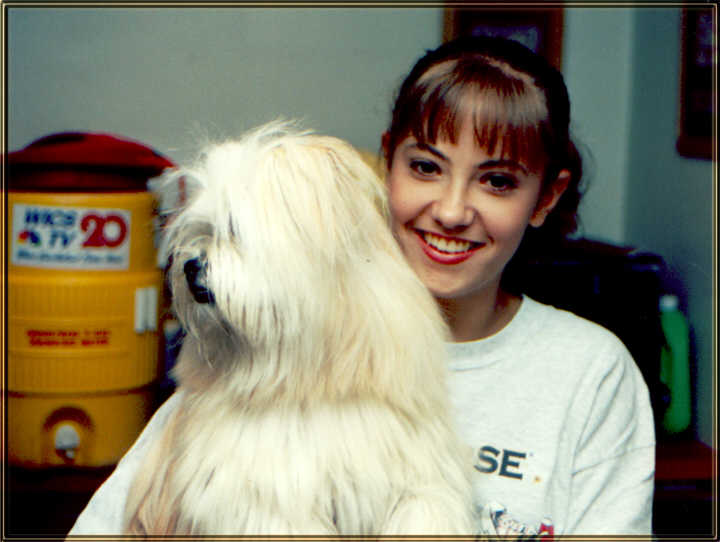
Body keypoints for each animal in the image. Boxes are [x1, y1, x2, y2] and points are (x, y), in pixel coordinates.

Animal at [123, 121, 476, 535]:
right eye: (202, 233)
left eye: (233, 230)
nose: (190, 265)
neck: (309, 381)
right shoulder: (271, 504)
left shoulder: (420, 477)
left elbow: (424, 509)